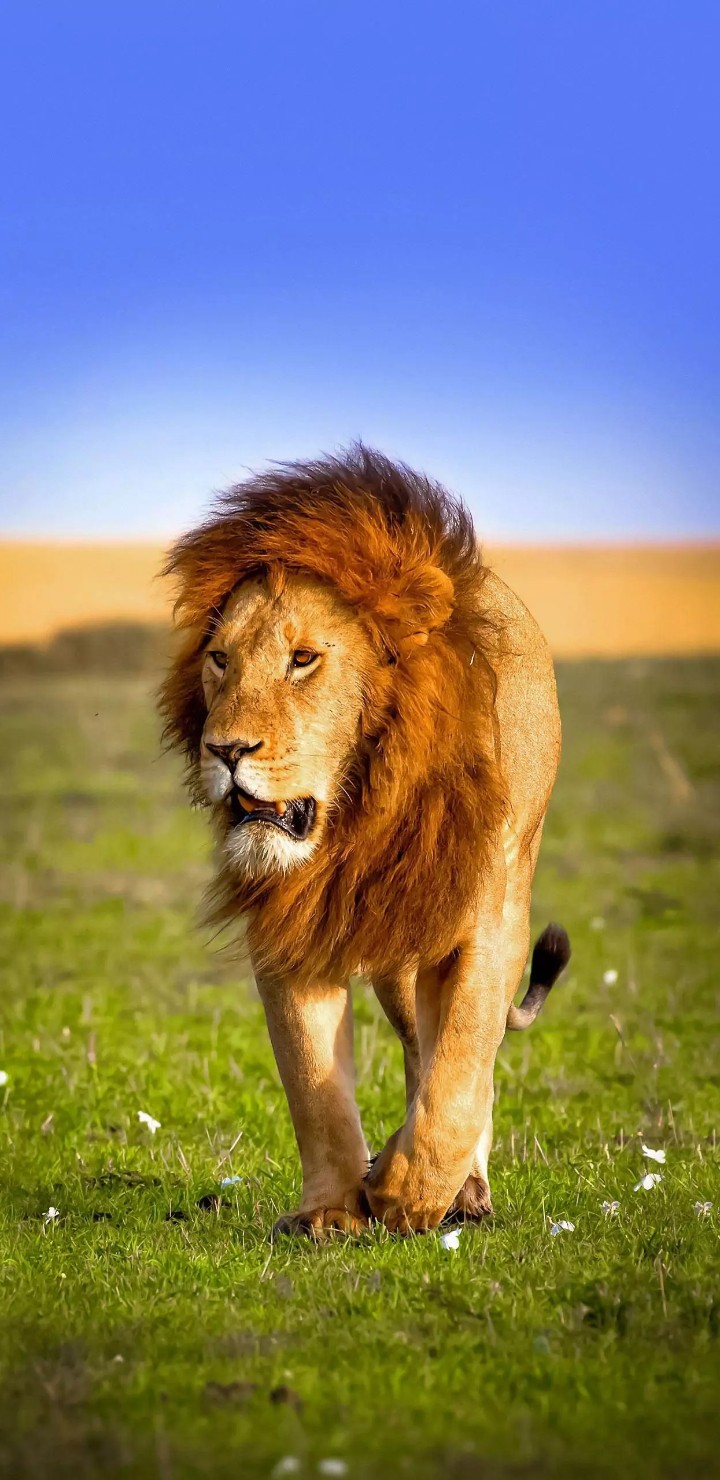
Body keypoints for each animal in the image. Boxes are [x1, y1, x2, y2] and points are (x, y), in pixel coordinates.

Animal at [160, 446, 570, 1237]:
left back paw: (463, 1189)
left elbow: (460, 1072)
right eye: (220, 659)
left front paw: (406, 1194)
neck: (359, 813)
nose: (225, 749)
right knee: (418, 1048)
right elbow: (312, 1085)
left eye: (303, 660)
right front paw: (330, 1211)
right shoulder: (289, 923)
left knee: (463, 1060)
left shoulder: (484, 924)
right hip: (399, 965)